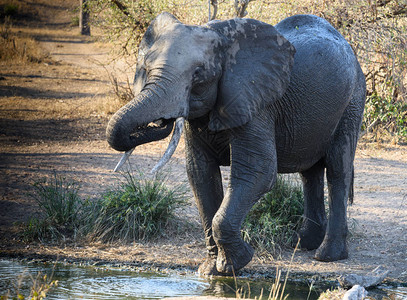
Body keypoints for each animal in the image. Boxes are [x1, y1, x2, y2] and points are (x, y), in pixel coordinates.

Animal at [107, 11, 368, 276]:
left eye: (198, 74)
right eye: (146, 69)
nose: (163, 119)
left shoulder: (256, 102)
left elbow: (258, 171)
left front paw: (234, 264)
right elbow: (200, 174)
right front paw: (210, 270)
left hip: (353, 100)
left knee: (337, 169)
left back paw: (327, 255)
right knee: (309, 172)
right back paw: (302, 244)